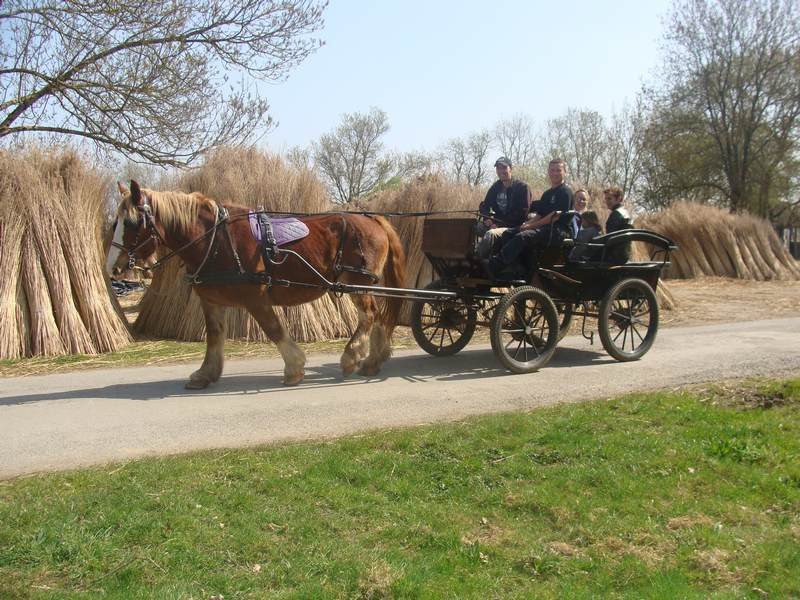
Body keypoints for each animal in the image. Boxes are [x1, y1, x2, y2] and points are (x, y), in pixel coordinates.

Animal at [107, 180, 406, 386]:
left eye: (131, 222)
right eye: (114, 223)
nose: (113, 267)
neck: (214, 240)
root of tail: (372, 218)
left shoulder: (255, 298)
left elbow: (273, 330)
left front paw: (294, 367)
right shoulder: (211, 300)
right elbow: (214, 337)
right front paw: (205, 373)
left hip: (357, 283)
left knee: (369, 315)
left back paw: (352, 356)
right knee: (379, 317)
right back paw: (374, 359)